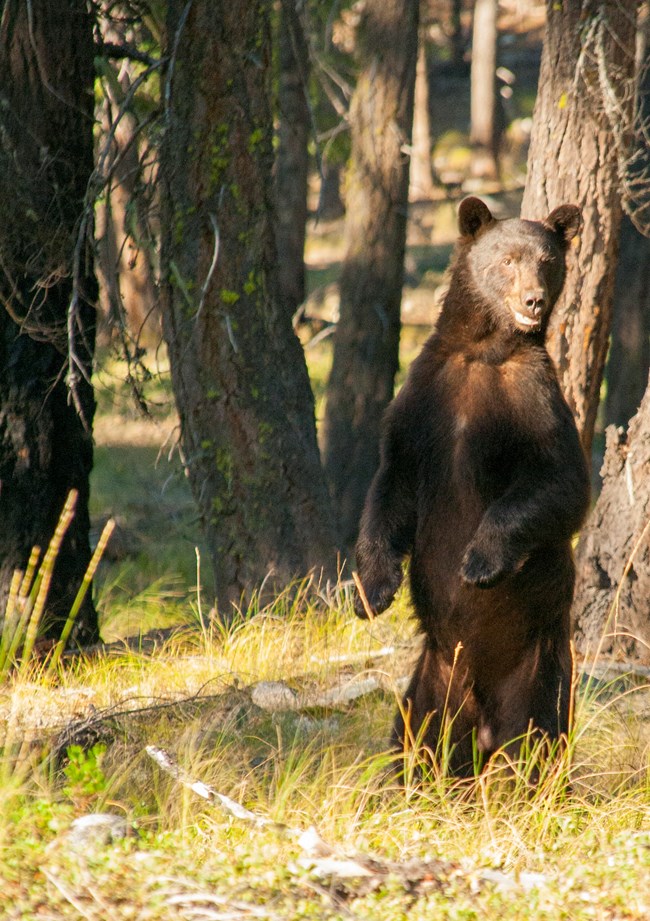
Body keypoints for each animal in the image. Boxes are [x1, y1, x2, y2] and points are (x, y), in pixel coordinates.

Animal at [354, 196, 588, 776]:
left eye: (547, 260)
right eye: (506, 260)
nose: (534, 299)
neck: (484, 349)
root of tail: (480, 716)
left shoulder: (532, 397)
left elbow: (561, 483)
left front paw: (479, 562)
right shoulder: (424, 400)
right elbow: (390, 484)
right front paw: (374, 590)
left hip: (539, 674)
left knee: (539, 742)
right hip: (432, 683)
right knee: (413, 739)